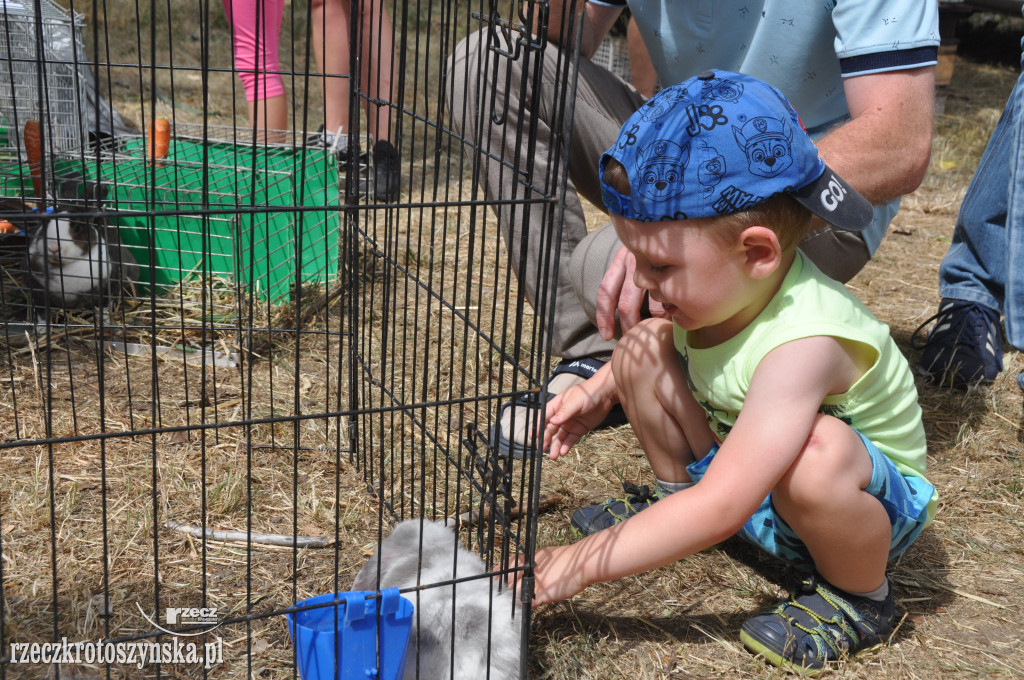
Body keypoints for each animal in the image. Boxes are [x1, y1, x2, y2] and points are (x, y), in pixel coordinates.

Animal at [23, 178, 137, 321]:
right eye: (43, 226)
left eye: (78, 228)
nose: (53, 248)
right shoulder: (39, 296)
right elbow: (42, 315)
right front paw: (41, 327)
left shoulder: (110, 287)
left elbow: (105, 308)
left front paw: (105, 322)